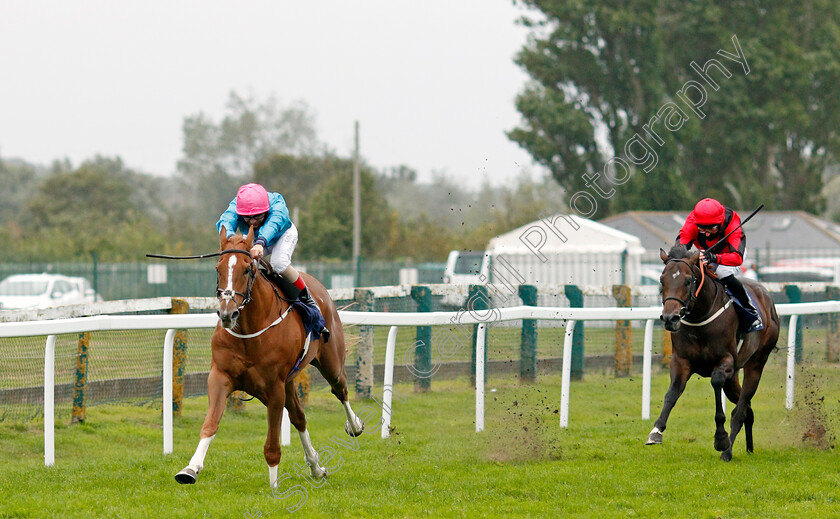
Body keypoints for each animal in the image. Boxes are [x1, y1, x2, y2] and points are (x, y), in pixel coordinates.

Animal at [176, 228, 362, 488]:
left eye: (247, 268)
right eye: (218, 268)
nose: (227, 313)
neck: (249, 332)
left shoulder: (274, 387)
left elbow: (272, 443)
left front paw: (274, 487)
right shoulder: (220, 377)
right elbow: (210, 424)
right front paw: (190, 469)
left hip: (330, 363)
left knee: (341, 390)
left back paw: (355, 425)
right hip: (288, 383)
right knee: (299, 417)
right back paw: (316, 467)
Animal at [648, 246, 780, 462]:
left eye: (688, 280)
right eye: (662, 279)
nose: (670, 318)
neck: (699, 316)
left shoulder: (725, 361)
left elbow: (716, 382)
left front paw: (721, 438)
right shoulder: (681, 361)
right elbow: (672, 393)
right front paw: (656, 431)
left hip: (756, 363)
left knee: (741, 409)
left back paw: (727, 451)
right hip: (734, 376)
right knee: (747, 409)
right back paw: (749, 448)